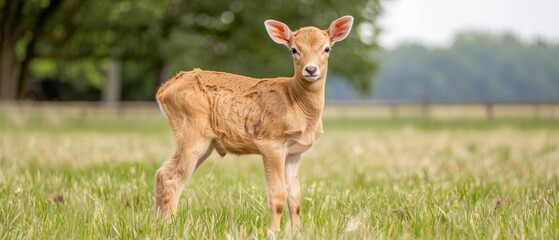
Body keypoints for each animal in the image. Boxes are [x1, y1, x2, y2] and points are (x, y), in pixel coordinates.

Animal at [153, 15, 354, 232]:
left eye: (327, 49)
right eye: (294, 49)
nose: (310, 69)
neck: (297, 102)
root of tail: (163, 90)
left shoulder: (294, 151)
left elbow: (295, 196)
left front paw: (298, 232)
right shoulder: (270, 142)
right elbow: (278, 195)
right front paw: (273, 232)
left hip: (201, 140)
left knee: (162, 173)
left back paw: (156, 222)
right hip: (192, 130)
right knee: (172, 180)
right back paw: (169, 227)